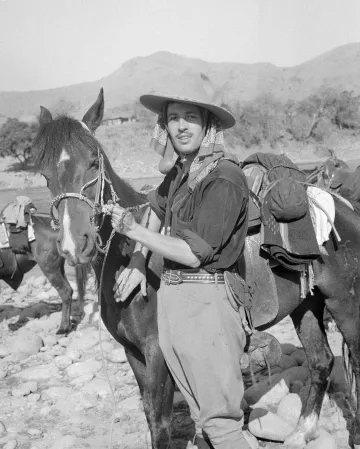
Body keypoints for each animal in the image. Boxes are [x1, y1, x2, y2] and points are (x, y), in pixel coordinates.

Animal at [30, 88, 360, 448]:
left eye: (93, 161)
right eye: (44, 173)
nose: (74, 244)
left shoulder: (157, 353)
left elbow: (161, 424)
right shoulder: (133, 353)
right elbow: (151, 416)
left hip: (345, 305)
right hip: (307, 304)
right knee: (321, 361)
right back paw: (303, 431)